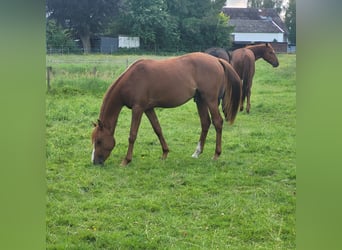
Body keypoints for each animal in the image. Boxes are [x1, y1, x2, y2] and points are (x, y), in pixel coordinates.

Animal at [90, 52, 240, 166]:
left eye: (99, 141)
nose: (95, 162)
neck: (131, 79)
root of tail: (217, 60)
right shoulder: (148, 109)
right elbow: (158, 129)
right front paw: (165, 153)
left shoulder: (138, 108)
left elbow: (132, 135)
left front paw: (126, 160)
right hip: (200, 100)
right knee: (205, 123)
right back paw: (197, 152)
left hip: (210, 100)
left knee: (217, 122)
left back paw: (216, 154)